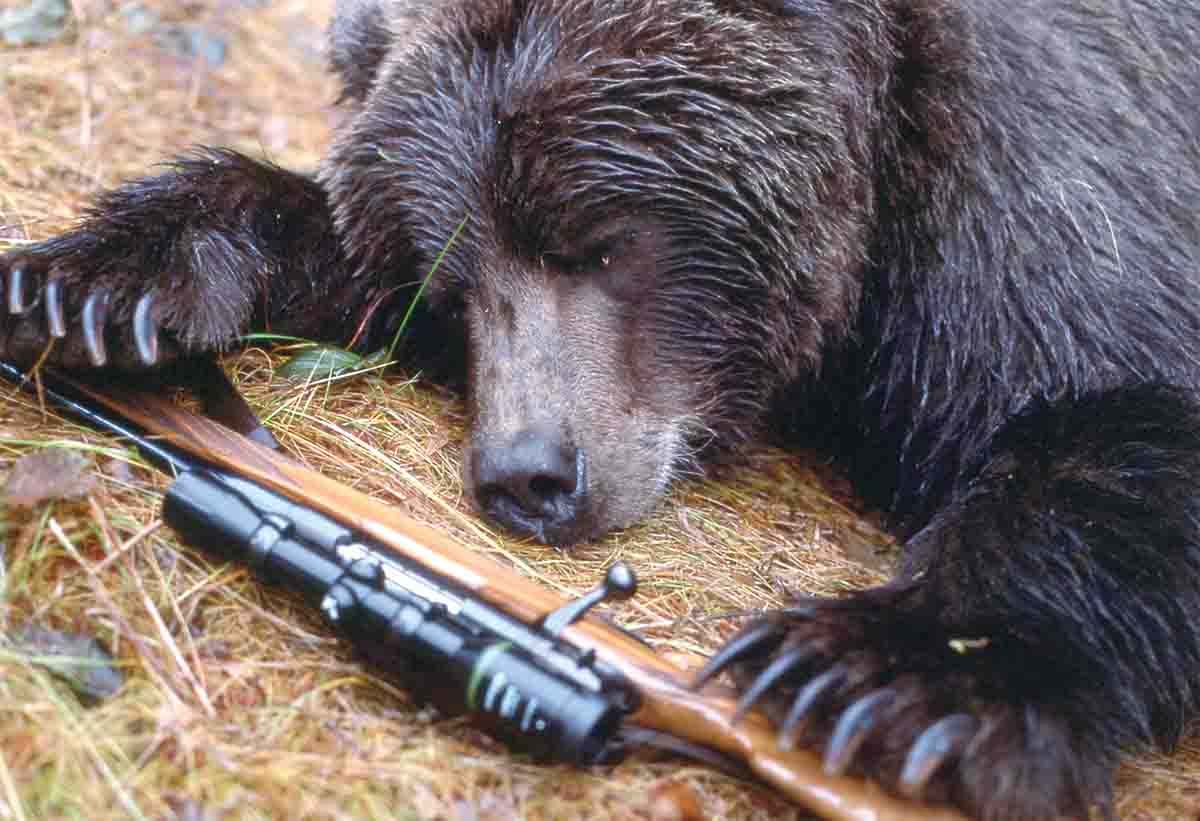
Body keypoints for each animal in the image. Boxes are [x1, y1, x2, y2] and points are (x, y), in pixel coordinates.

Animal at [2, 1, 1200, 820]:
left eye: (598, 239)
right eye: (456, 280)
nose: (527, 474)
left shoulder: (1042, 170)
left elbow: (1110, 423)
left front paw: (885, 676)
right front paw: (92, 286)